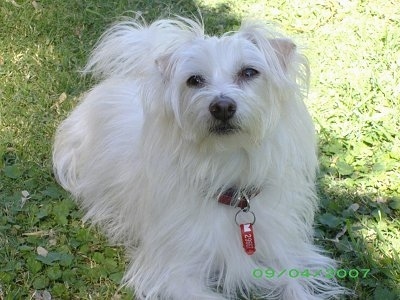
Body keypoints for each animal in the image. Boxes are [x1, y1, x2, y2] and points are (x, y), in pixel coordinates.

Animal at [53, 16, 346, 300]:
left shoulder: (282, 252)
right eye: (194, 80)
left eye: (249, 72)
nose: (222, 107)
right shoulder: (175, 271)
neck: (229, 176)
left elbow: (296, 285)